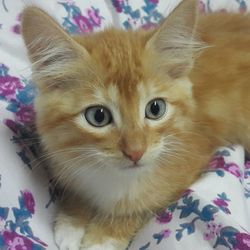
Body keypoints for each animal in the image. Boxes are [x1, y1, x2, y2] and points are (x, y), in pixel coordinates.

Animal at [21, 0, 250, 250]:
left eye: (155, 109)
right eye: (98, 116)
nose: (135, 152)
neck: (113, 176)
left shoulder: (188, 162)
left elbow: (139, 205)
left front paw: (102, 238)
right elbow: (77, 189)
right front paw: (72, 222)